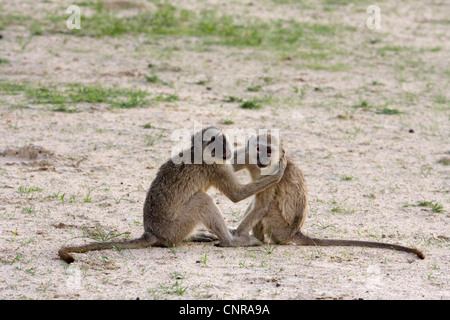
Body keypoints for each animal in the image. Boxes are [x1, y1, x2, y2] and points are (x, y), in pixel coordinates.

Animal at [59, 126, 288, 264]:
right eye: (217, 140)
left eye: (224, 139)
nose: (228, 147)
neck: (199, 151)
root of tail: (152, 232)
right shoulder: (215, 168)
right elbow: (236, 194)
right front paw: (279, 172)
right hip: (175, 227)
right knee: (201, 200)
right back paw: (230, 241)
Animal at [232, 132, 426, 260]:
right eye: (259, 149)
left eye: (269, 151)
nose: (263, 159)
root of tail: (295, 232)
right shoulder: (250, 157)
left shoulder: (273, 173)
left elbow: (262, 206)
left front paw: (237, 235)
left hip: (279, 227)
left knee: (267, 209)